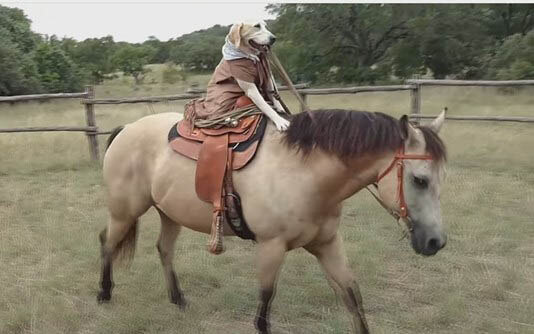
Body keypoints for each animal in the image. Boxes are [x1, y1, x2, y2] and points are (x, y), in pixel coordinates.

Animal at [98, 108, 450, 332]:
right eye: (419, 180)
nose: (436, 241)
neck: (305, 173)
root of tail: (127, 128)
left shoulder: (328, 244)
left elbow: (353, 299)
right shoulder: (271, 247)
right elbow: (263, 312)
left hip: (169, 212)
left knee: (164, 249)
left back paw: (178, 299)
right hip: (124, 211)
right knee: (107, 242)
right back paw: (104, 294)